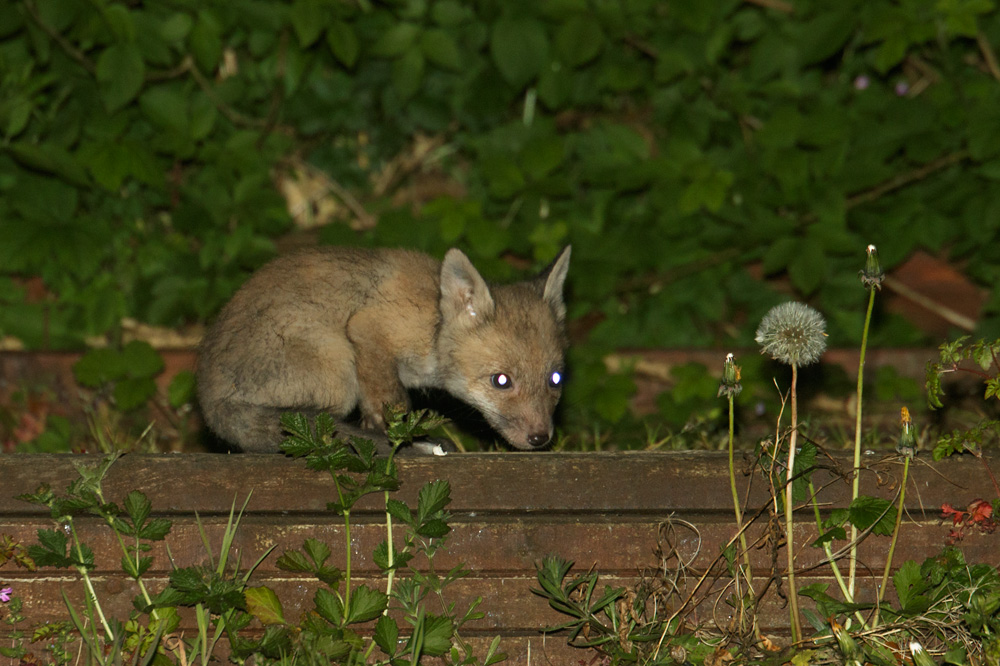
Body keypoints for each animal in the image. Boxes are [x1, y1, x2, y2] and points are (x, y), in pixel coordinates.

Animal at [196, 245, 571, 454]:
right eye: (502, 381)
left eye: (555, 379)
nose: (540, 438)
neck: (432, 326)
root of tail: (208, 400)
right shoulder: (368, 330)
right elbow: (394, 405)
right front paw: (398, 444)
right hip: (339, 372)